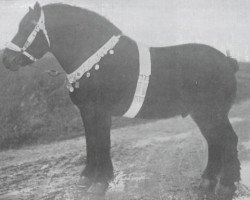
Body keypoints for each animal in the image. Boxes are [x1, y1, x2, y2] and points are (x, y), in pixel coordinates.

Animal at [1, 1, 240, 198]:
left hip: (212, 113)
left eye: (28, 26)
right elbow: (91, 143)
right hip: (202, 114)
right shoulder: (87, 112)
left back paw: (226, 185)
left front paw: (100, 182)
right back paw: (208, 181)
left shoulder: (100, 112)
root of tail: (228, 61)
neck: (96, 58)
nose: (6, 59)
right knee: (215, 141)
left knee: (228, 140)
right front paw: (87, 178)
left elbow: (101, 144)